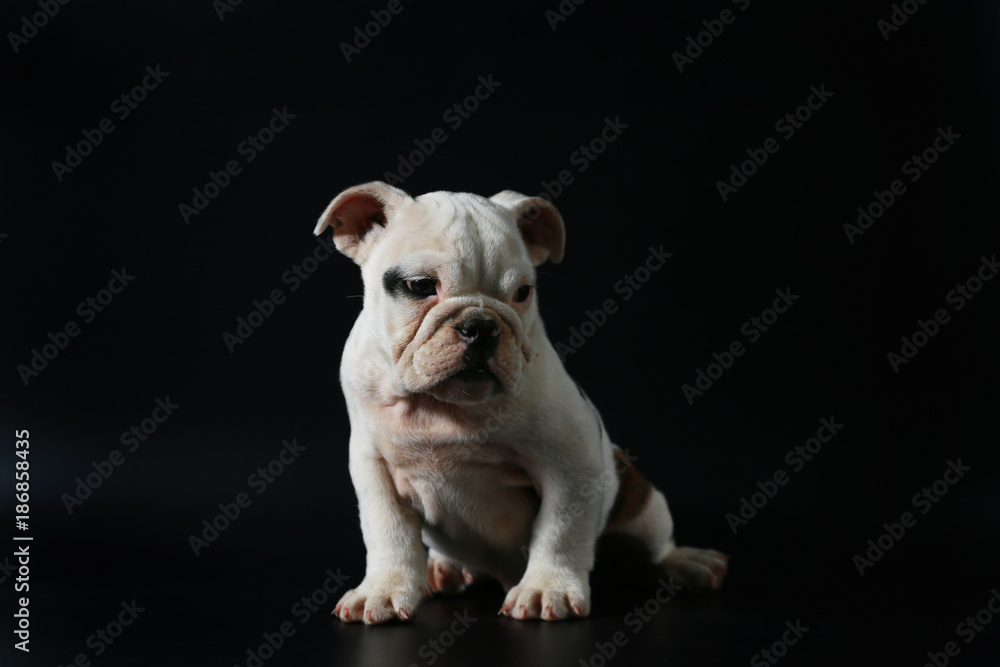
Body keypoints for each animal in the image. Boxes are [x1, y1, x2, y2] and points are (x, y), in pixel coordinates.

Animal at [316, 180, 732, 624]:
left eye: (522, 293)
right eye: (420, 286)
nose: (481, 325)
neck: (448, 409)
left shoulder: (571, 465)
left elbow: (559, 529)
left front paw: (546, 587)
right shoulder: (372, 463)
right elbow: (387, 530)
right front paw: (382, 589)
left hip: (643, 503)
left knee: (655, 548)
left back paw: (686, 563)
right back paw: (447, 568)